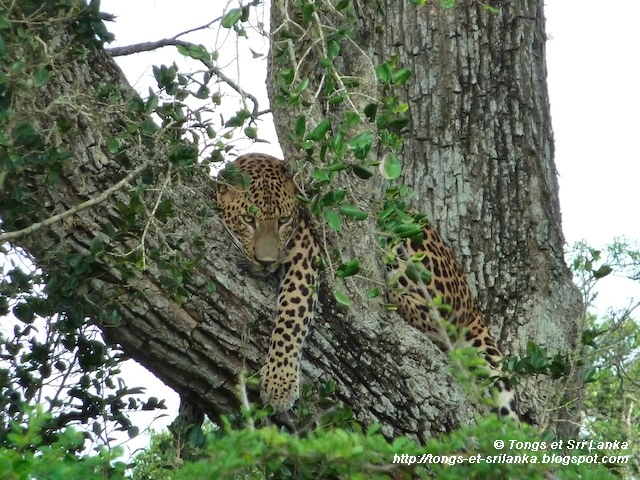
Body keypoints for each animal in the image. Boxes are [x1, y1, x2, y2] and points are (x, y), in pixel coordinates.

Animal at [218, 153, 516, 420]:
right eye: (248, 220)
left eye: (283, 221)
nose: (266, 262)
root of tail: (472, 303)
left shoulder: (305, 249)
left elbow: (291, 316)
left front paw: (280, 383)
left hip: (401, 234)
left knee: (444, 324)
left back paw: (395, 296)